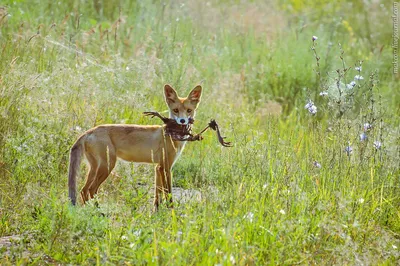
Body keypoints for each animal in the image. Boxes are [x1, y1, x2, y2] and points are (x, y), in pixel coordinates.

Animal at [67, 84, 203, 210]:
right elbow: (168, 193)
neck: (170, 134)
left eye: (189, 110)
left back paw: (90, 210)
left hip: (95, 168)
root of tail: (88, 132)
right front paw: (172, 212)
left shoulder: (158, 167)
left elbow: (157, 195)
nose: (182, 121)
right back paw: (97, 211)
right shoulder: (165, 167)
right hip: (107, 166)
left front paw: (157, 212)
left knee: (83, 190)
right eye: (175, 110)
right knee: (91, 190)